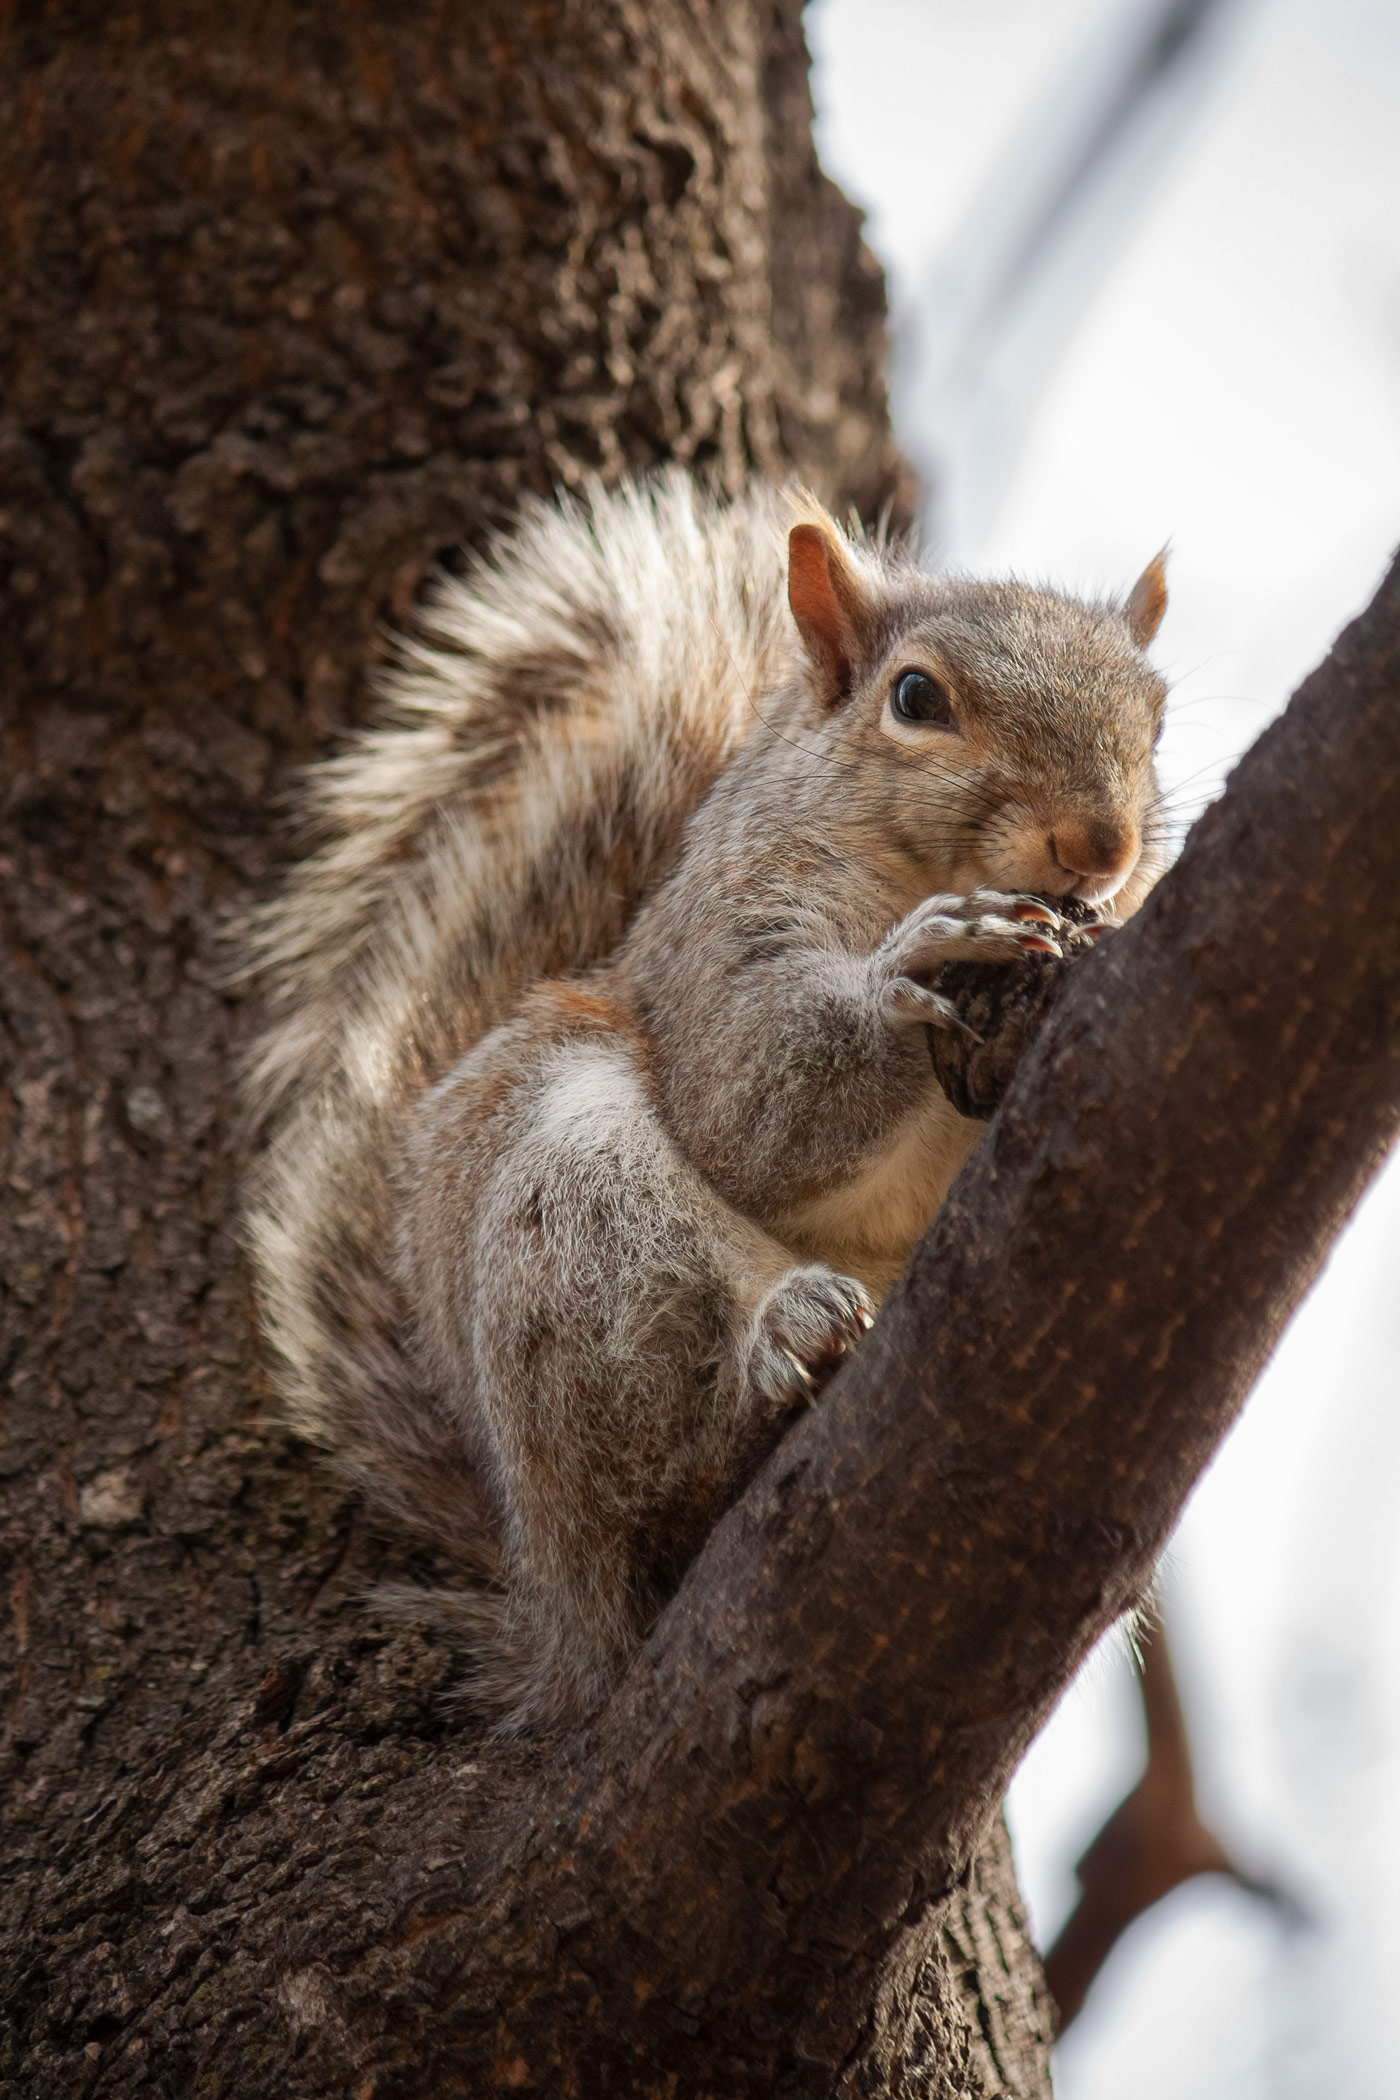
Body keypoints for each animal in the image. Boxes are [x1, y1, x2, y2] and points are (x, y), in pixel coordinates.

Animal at [243, 472, 1170, 1732]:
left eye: (1155, 719)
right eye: (915, 698)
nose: (1098, 844)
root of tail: (551, 1592)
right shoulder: (715, 950)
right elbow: (748, 1105)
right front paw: (919, 965)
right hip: (575, 1224)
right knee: (660, 1482)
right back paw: (778, 1348)